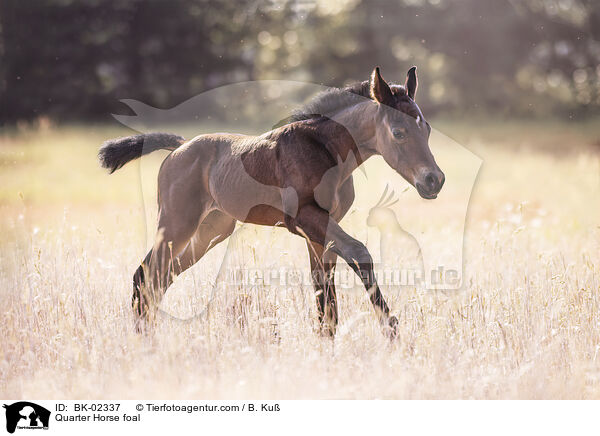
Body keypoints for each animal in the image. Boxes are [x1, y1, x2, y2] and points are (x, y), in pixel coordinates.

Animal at [99, 67, 446, 338]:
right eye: (398, 132)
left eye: (427, 129)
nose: (434, 180)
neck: (325, 149)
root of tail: (181, 146)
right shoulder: (304, 218)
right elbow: (359, 254)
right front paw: (391, 328)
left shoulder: (320, 230)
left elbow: (324, 297)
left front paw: (328, 343)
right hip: (177, 223)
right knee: (145, 274)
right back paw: (143, 339)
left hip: (211, 230)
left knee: (163, 277)